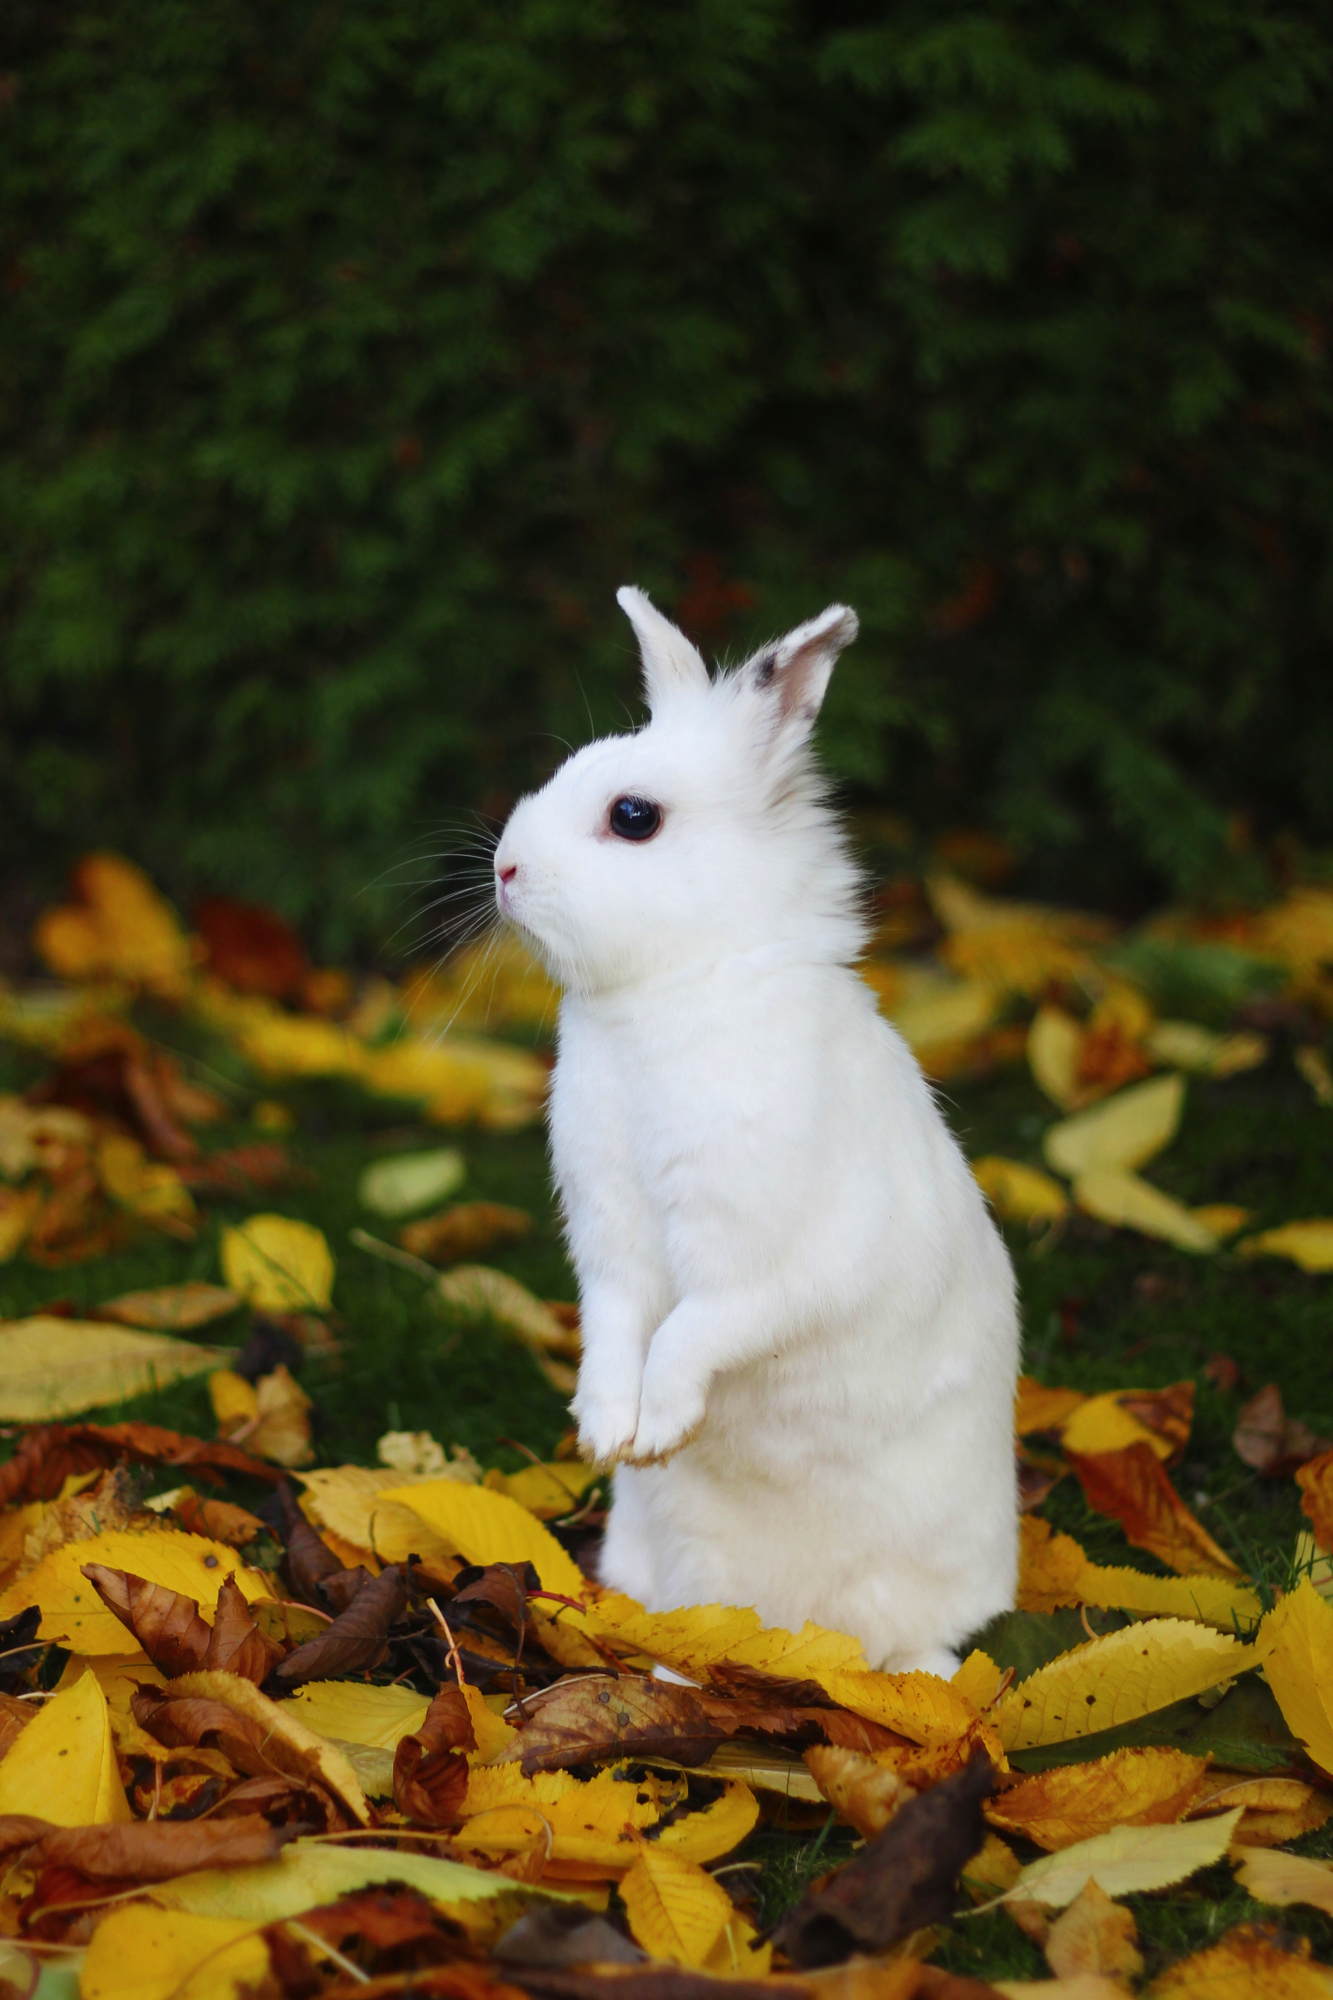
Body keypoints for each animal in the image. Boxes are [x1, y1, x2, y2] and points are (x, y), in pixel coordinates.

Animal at [492, 588, 1012, 1672]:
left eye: (633, 816)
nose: (505, 868)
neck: (673, 983)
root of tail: (800, 1635)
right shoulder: (608, 1241)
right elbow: (615, 1324)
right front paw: (606, 1432)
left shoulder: (766, 1259)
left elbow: (697, 1327)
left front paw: (655, 1428)